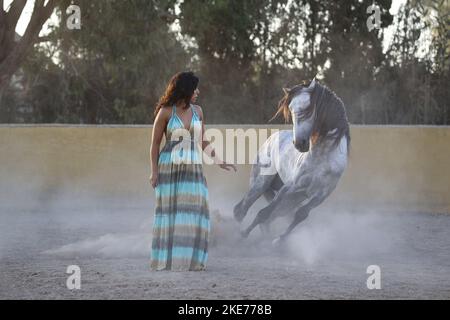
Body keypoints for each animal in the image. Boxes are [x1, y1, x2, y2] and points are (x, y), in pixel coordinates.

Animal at [236, 79, 352, 244]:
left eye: (308, 109)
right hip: (261, 184)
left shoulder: (320, 196)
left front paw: (278, 241)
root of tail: (270, 140)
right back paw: (238, 233)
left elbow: (300, 215)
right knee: (242, 209)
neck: (322, 159)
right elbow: (264, 213)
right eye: (290, 110)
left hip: (291, 200)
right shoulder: (290, 187)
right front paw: (245, 234)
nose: (299, 143)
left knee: (270, 216)